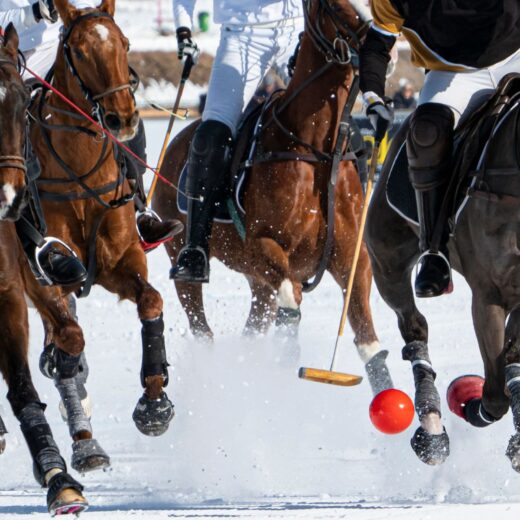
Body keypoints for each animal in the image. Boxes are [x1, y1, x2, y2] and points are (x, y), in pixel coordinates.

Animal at [29, 0, 173, 474]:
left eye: (124, 43)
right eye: (78, 49)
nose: (122, 119)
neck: (79, 169)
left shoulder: (120, 259)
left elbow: (151, 302)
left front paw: (154, 403)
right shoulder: (42, 272)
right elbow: (70, 341)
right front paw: (82, 434)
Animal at [152, 0, 392, 394]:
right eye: (334, 5)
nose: (382, 48)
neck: (314, 148)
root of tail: (177, 141)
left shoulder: (352, 261)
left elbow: (371, 346)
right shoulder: (262, 246)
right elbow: (291, 300)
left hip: (254, 282)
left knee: (254, 325)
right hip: (183, 258)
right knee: (203, 327)